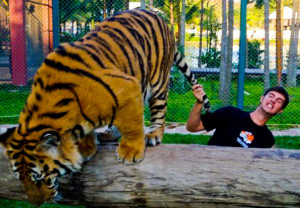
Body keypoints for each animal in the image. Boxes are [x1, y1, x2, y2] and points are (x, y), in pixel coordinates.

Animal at [0, 9, 211, 205]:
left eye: (40, 179)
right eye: (21, 179)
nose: (36, 203)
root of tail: (161, 19)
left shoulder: (127, 87)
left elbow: (133, 125)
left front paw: (131, 152)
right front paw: (86, 148)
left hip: (157, 82)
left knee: (158, 113)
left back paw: (152, 135)